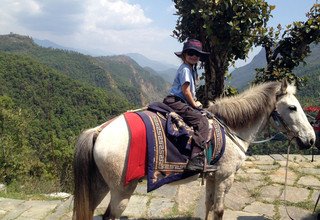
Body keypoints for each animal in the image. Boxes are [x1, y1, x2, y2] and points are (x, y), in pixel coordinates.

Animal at [72, 80, 316, 219]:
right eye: (292, 107)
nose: (311, 139)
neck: (230, 128)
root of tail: (99, 131)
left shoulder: (213, 177)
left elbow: (208, 205)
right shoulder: (225, 178)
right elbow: (218, 210)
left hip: (100, 186)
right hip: (121, 191)